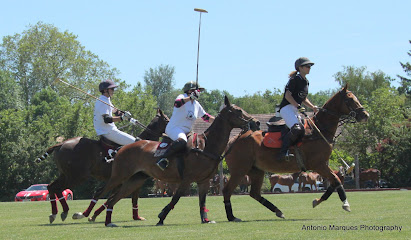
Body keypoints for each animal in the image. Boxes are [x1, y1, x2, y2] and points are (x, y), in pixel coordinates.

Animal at [35, 109, 169, 223]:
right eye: (167, 120)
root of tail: (61, 144)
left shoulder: (127, 180)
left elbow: (123, 198)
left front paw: (136, 217)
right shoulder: (126, 179)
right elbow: (110, 196)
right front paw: (88, 215)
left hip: (65, 174)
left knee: (51, 186)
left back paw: (57, 213)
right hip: (78, 176)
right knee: (58, 188)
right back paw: (64, 212)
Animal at [91, 96, 260, 227]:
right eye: (238, 111)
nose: (256, 122)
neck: (207, 145)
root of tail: (122, 148)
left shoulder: (204, 181)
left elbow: (202, 202)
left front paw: (205, 220)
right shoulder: (187, 179)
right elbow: (175, 198)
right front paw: (161, 217)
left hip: (135, 179)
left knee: (113, 199)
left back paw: (108, 222)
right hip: (119, 176)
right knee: (102, 192)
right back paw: (93, 217)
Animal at [222, 85, 370, 222]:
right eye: (350, 99)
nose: (365, 115)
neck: (319, 130)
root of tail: (233, 140)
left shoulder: (323, 164)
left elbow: (335, 180)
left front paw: (317, 201)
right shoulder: (318, 164)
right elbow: (336, 180)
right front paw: (345, 204)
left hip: (257, 170)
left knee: (254, 193)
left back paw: (278, 211)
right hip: (239, 170)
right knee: (227, 190)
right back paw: (231, 217)